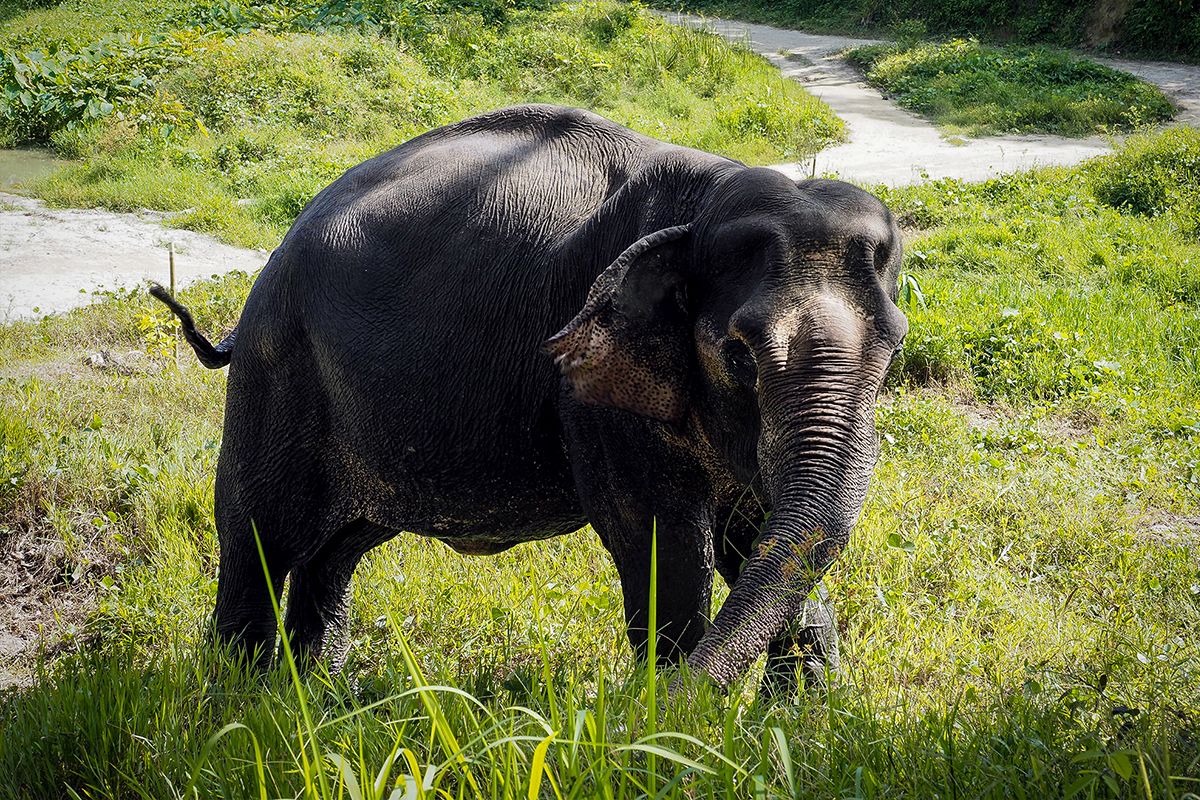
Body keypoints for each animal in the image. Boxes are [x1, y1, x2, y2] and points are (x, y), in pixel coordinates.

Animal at [157, 104, 907, 695]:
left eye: (894, 347)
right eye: (739, 355)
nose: (668, 701)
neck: (707, 198)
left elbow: (757, 533)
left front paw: (794, 720)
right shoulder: (589, 391)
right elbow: (659, 538)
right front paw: (667, 733)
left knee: (336, 551)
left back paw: (310, 694)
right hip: (276, 372)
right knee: (258, 535)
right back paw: (242, 702)